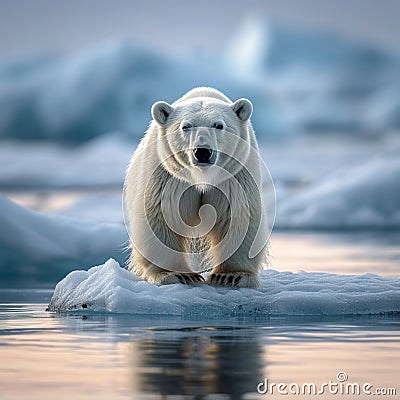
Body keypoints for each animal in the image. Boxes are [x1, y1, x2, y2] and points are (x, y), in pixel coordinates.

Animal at [124, 87, 268, 288]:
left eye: (219, 125)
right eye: (186, 126)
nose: (202, 152)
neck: (202, 176)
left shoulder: (234, 175)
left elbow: (238, 214)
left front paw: (232, 275)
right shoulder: (168, 175)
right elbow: (161, 215)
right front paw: (177, 274)